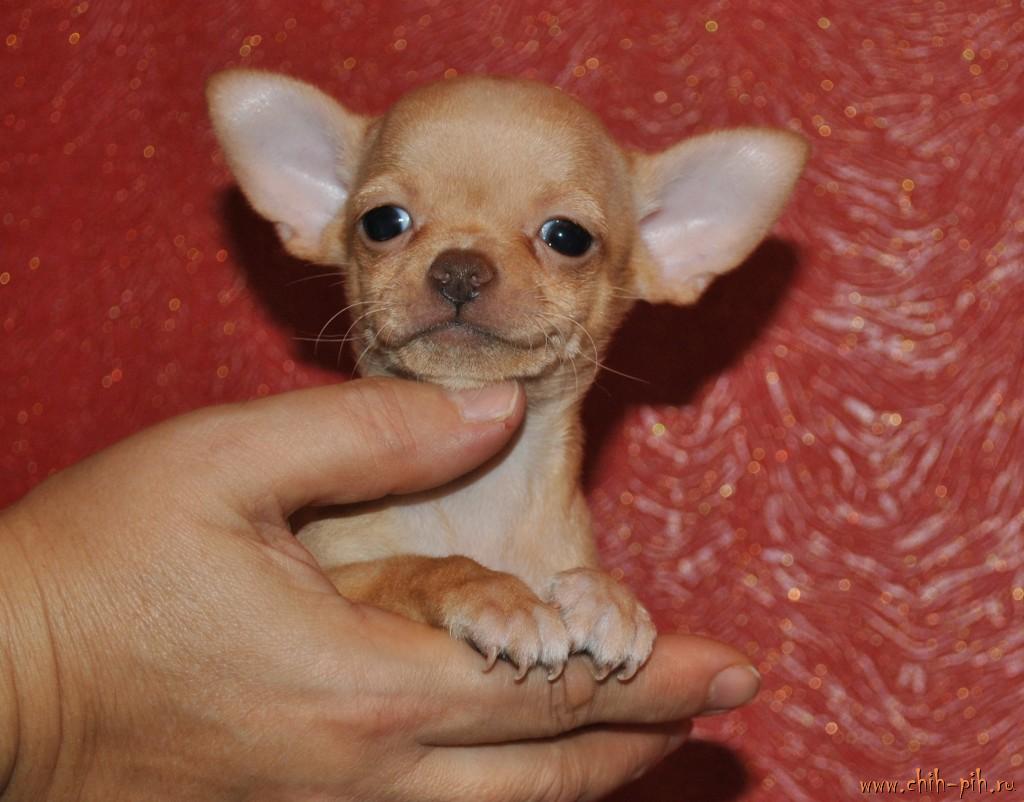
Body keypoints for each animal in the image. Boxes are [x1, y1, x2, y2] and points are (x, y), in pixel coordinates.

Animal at [207, 70, 806, 681]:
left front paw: (609, 597)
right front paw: (495, 594)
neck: (481, 491)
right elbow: (412, 567)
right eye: (383, 223)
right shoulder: (338, 577)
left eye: (567, 237)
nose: (459, 268)